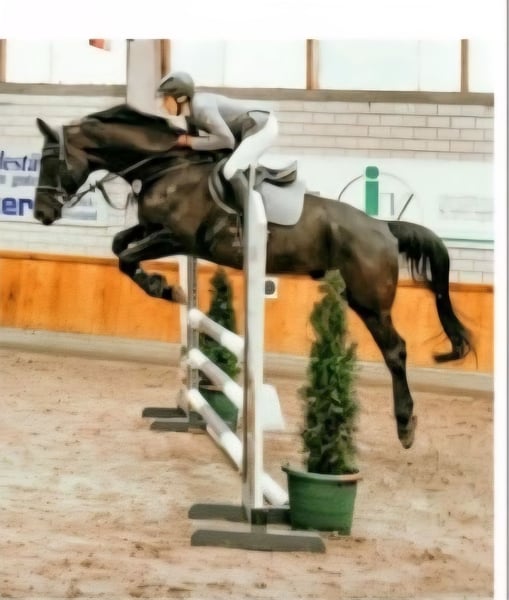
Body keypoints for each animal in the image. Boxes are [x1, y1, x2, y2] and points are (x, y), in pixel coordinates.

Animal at [33, 103, 472, 450]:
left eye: (50, 162)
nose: (41, 214)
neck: (166, 167)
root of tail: (384, 226)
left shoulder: (176, 237)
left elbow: (125, 257)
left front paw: (165, 288)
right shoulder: (156, 232)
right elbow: (119, 246)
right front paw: (165, 286)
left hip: (370, 301)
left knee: (396, 350)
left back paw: (405, 426)